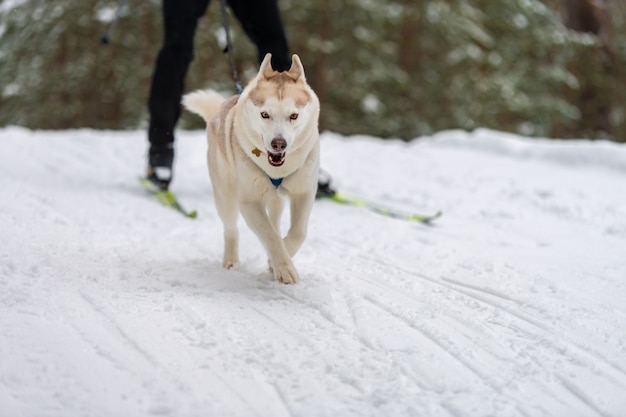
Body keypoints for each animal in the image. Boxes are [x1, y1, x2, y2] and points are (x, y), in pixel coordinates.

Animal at [179, 53, 316, 284]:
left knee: (275, 221)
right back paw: (231, 261)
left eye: (294, 116)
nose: (279, 144)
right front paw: (283, 267)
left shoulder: (303, 192)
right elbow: (269, 235)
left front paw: (276, 260)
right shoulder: (250, 202)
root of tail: (219, 109)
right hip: (226, 196)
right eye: (265, 114)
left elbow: (298, 232)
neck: (277, 170)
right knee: (231, 228)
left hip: (276, 200)